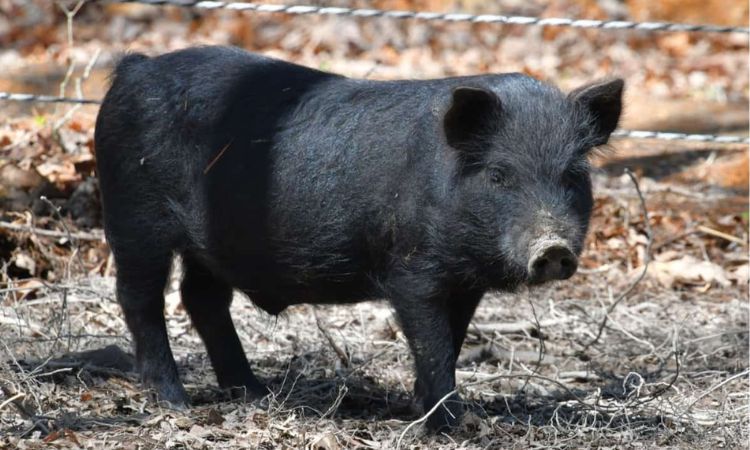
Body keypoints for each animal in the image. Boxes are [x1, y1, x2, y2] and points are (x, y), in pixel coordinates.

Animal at [94, 46, 623, 430]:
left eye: (573, 176)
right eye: (498, 175)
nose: (552, 248)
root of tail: (135, 69)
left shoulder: (464, 282)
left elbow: (452, 339)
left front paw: (424, 410)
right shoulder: (412, 269)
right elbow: (431, 343)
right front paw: (449, 425)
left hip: (212, 245)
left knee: (201, 298)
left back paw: (254, 392)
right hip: (133, 215)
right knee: (140, 298)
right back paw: (176, 402)